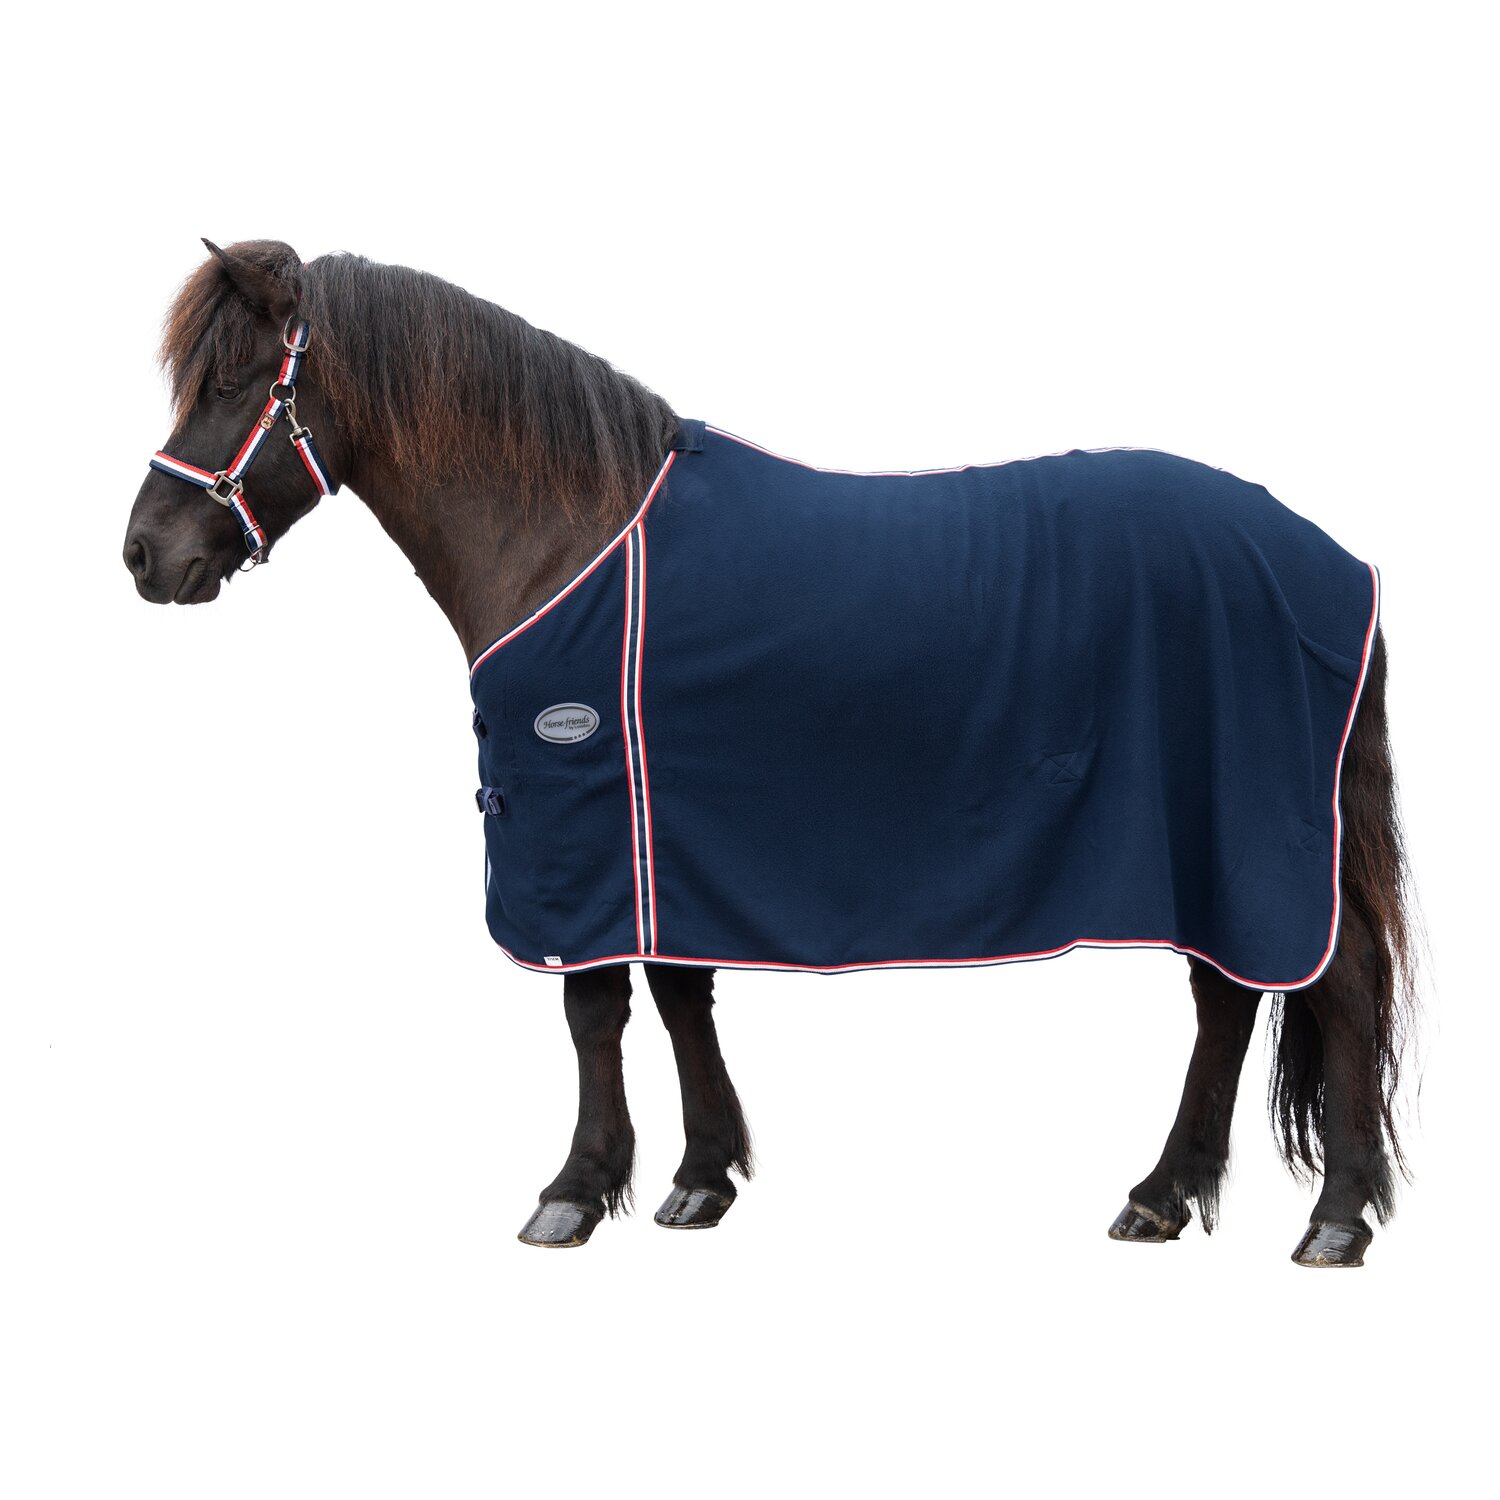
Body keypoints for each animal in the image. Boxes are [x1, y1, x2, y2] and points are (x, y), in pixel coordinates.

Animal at [122, 239, 1416, 1265]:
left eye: (237, 381)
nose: (144, 554)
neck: (572, 537)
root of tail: (1330, 563)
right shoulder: (662, 833)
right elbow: (678, 994)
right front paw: (699, 1179)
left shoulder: (586, 825)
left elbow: (595, 1011)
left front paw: (576, 1190)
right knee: (1226, 1001)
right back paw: (1162, 1195)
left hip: (1268, 840)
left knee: (1336, 988)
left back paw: (1334, 1220)